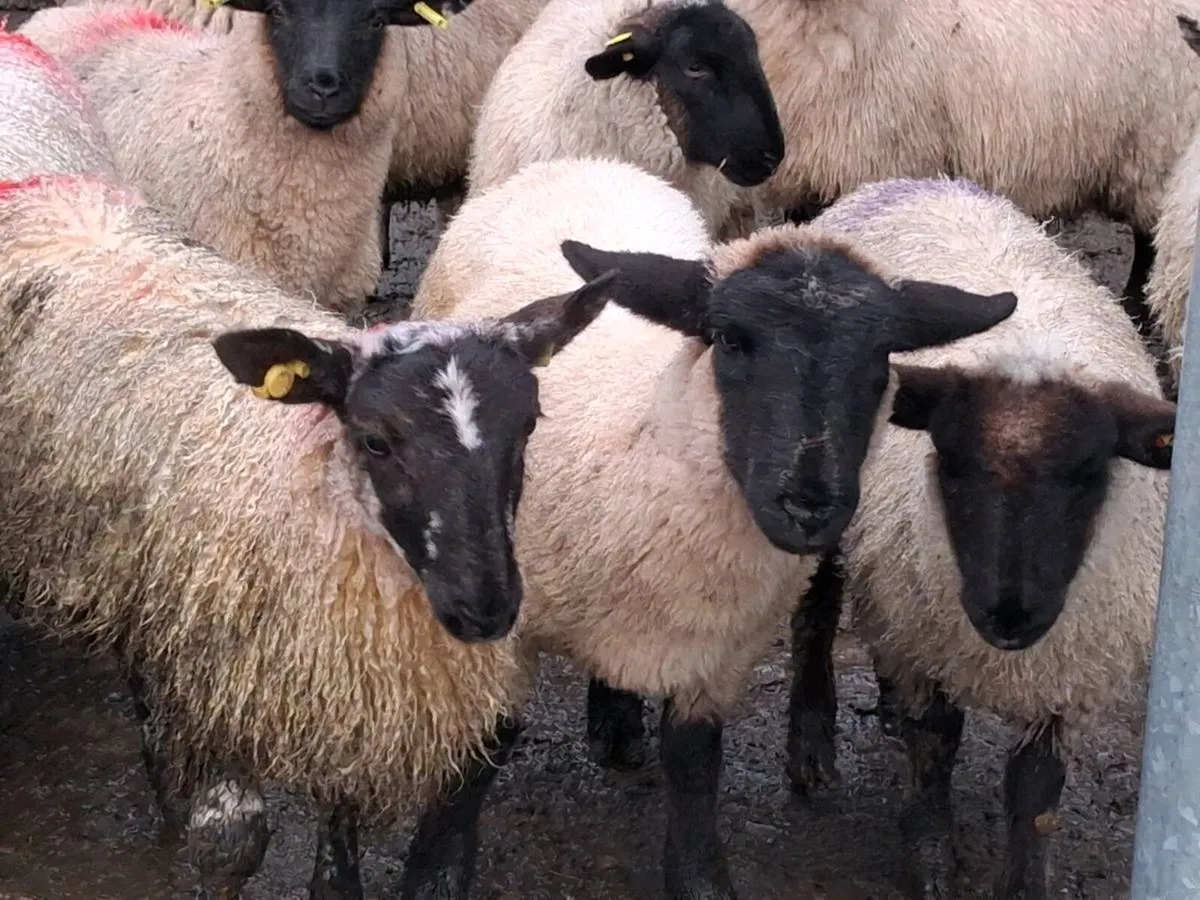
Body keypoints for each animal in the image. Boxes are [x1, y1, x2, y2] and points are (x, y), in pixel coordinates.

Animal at [0, 169, 615, 897]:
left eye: (528, 425)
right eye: (375, 440)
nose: (485, 609)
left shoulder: (346, 694)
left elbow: (362, 867)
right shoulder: (218, 681)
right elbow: (231, 843)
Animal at [412, 156, 1018, 899]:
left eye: (882, 362)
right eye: (730, 339)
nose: (810, 505)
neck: (642, 438)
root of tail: (585, 161)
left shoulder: (717, 656)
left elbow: (695, 768)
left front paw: (701, 878)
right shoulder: (500, 623)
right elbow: (484, 744)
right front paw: (434, 871)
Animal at [786, 177, 1174, 899]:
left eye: (1088, 473)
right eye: (952, 463)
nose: (1009, 614)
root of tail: (907, 180)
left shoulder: (1064, 664)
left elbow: (1036, 791)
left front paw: (1022, 884)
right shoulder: (927, 637)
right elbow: (936, 744)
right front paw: (932, 859)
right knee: (815, 614)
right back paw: (812, 741)